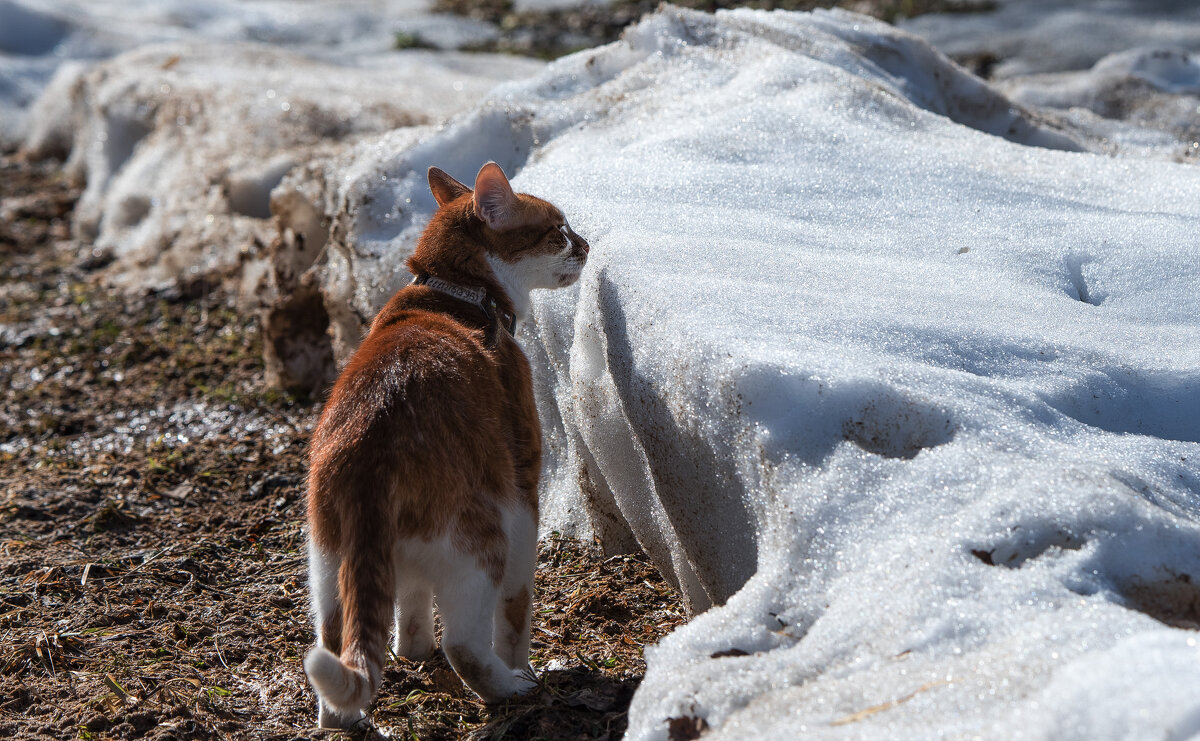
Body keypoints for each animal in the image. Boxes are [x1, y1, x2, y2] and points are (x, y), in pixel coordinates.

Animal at [297, 161, 583, 729]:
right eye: (557, 231)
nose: (585, 244)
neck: (456, 296)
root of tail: (368, 450)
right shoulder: (524, 492)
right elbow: (516, 614)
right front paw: (522, 667)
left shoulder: (404, 573)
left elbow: (409, 609)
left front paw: (411, 649)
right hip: (483, 541)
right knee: (466, 645)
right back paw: (512, 688)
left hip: (328, 563)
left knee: (337, 648)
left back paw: (345, 717)